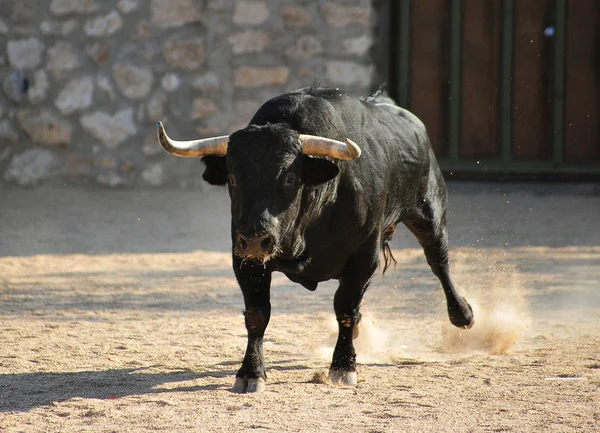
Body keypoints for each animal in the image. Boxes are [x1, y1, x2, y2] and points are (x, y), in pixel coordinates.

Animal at [157, 86, 476, 394]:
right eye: (233, 179)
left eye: (290, 179)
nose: (256, 240)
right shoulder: (245, 260)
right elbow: (257, 314)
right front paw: (251, 373)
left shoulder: (364, 257)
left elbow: (345, 309)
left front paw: (343, 367)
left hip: (429, 210)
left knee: (438, 261)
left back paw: (463, 314)